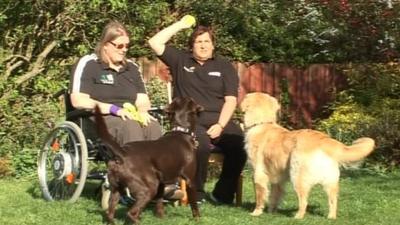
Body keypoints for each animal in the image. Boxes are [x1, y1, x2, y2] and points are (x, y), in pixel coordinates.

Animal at [241, 92, 376, 219]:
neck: (261, 123)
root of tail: (324, 140)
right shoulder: (277, 178)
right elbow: (275, 196)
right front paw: (271, 212)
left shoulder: (258, 174)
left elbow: (260, 196)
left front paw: (256, 212)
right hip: (330, 182)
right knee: (333, 200)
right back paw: (331, 217)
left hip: (297, 176)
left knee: (304, 201)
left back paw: (298, 216)